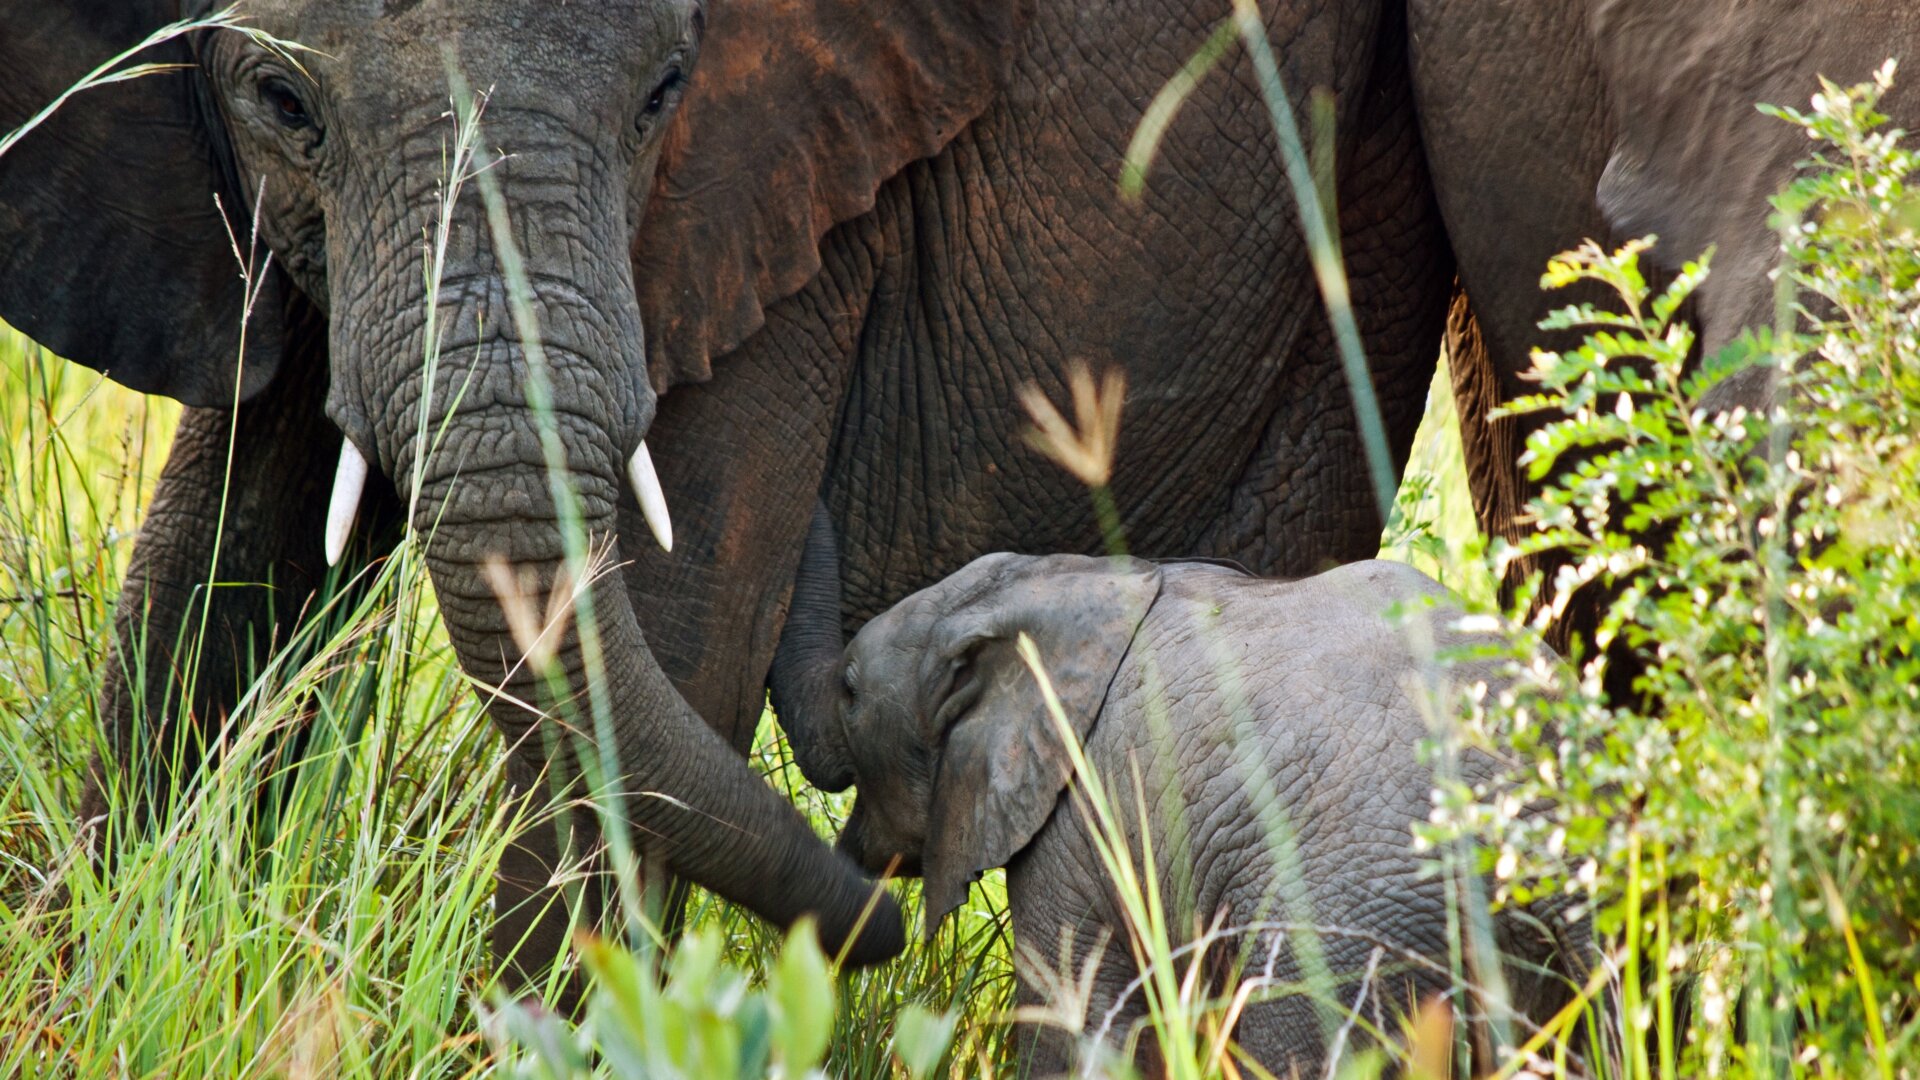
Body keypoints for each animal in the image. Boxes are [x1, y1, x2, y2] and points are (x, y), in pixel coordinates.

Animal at [0, 0, 1443, 976]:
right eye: (280, 102)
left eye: (665, 93)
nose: (881, 918)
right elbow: (212, 580)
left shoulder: (779, 177)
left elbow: (683, 635)